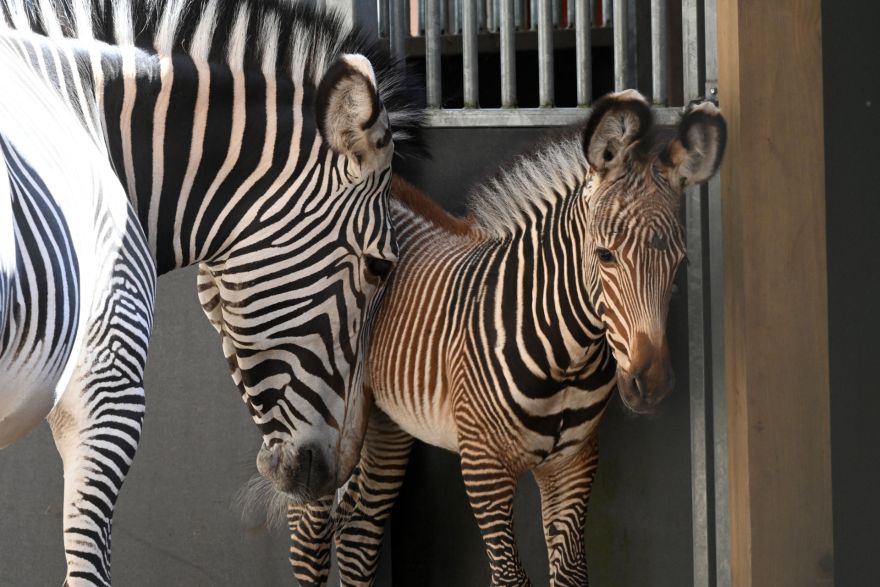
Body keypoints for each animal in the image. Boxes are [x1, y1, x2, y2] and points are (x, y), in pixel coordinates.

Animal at [288, 91, 727, 586]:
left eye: (681, 262)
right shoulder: (484, 467)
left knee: (358, 533)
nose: (650, 385)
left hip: (385, 417)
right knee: (308, 537)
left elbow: (572, 573)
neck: (566, 356)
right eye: (605, 255)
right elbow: (510, 576)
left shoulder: (572, 463)